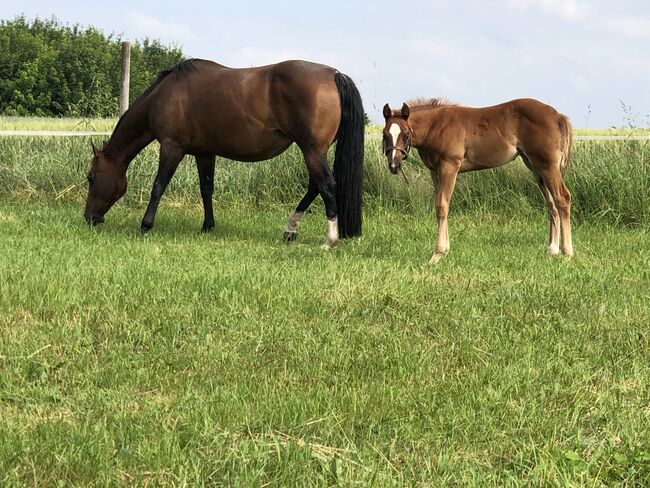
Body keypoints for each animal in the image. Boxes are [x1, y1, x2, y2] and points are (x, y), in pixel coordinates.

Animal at [83, 59, 362, 246]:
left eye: (91, 178)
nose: (89, 218)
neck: (165, 94)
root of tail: (334, 74)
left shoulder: (172, 147)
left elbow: (158, 186)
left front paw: (145, 225)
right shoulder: (204, 153)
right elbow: (206, 189)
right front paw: (207, 226)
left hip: (312, 150)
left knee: (326, 186)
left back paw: (329, 240)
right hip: (313, 150)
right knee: (315, 187)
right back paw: (290, 229)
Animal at [380, 96, 572, 262]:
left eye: (406, 134)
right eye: (385, 134)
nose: (394, 165)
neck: (435, 126)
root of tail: (558, 116)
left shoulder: (450, 166)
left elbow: (442, 206)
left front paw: (437, 254)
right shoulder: (435, 171)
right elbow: (440, 205)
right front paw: (445, 250)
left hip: (547, 165)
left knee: (562, 198)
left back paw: (567, 253)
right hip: (535, 166)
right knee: (551, 203)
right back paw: (552, 250)